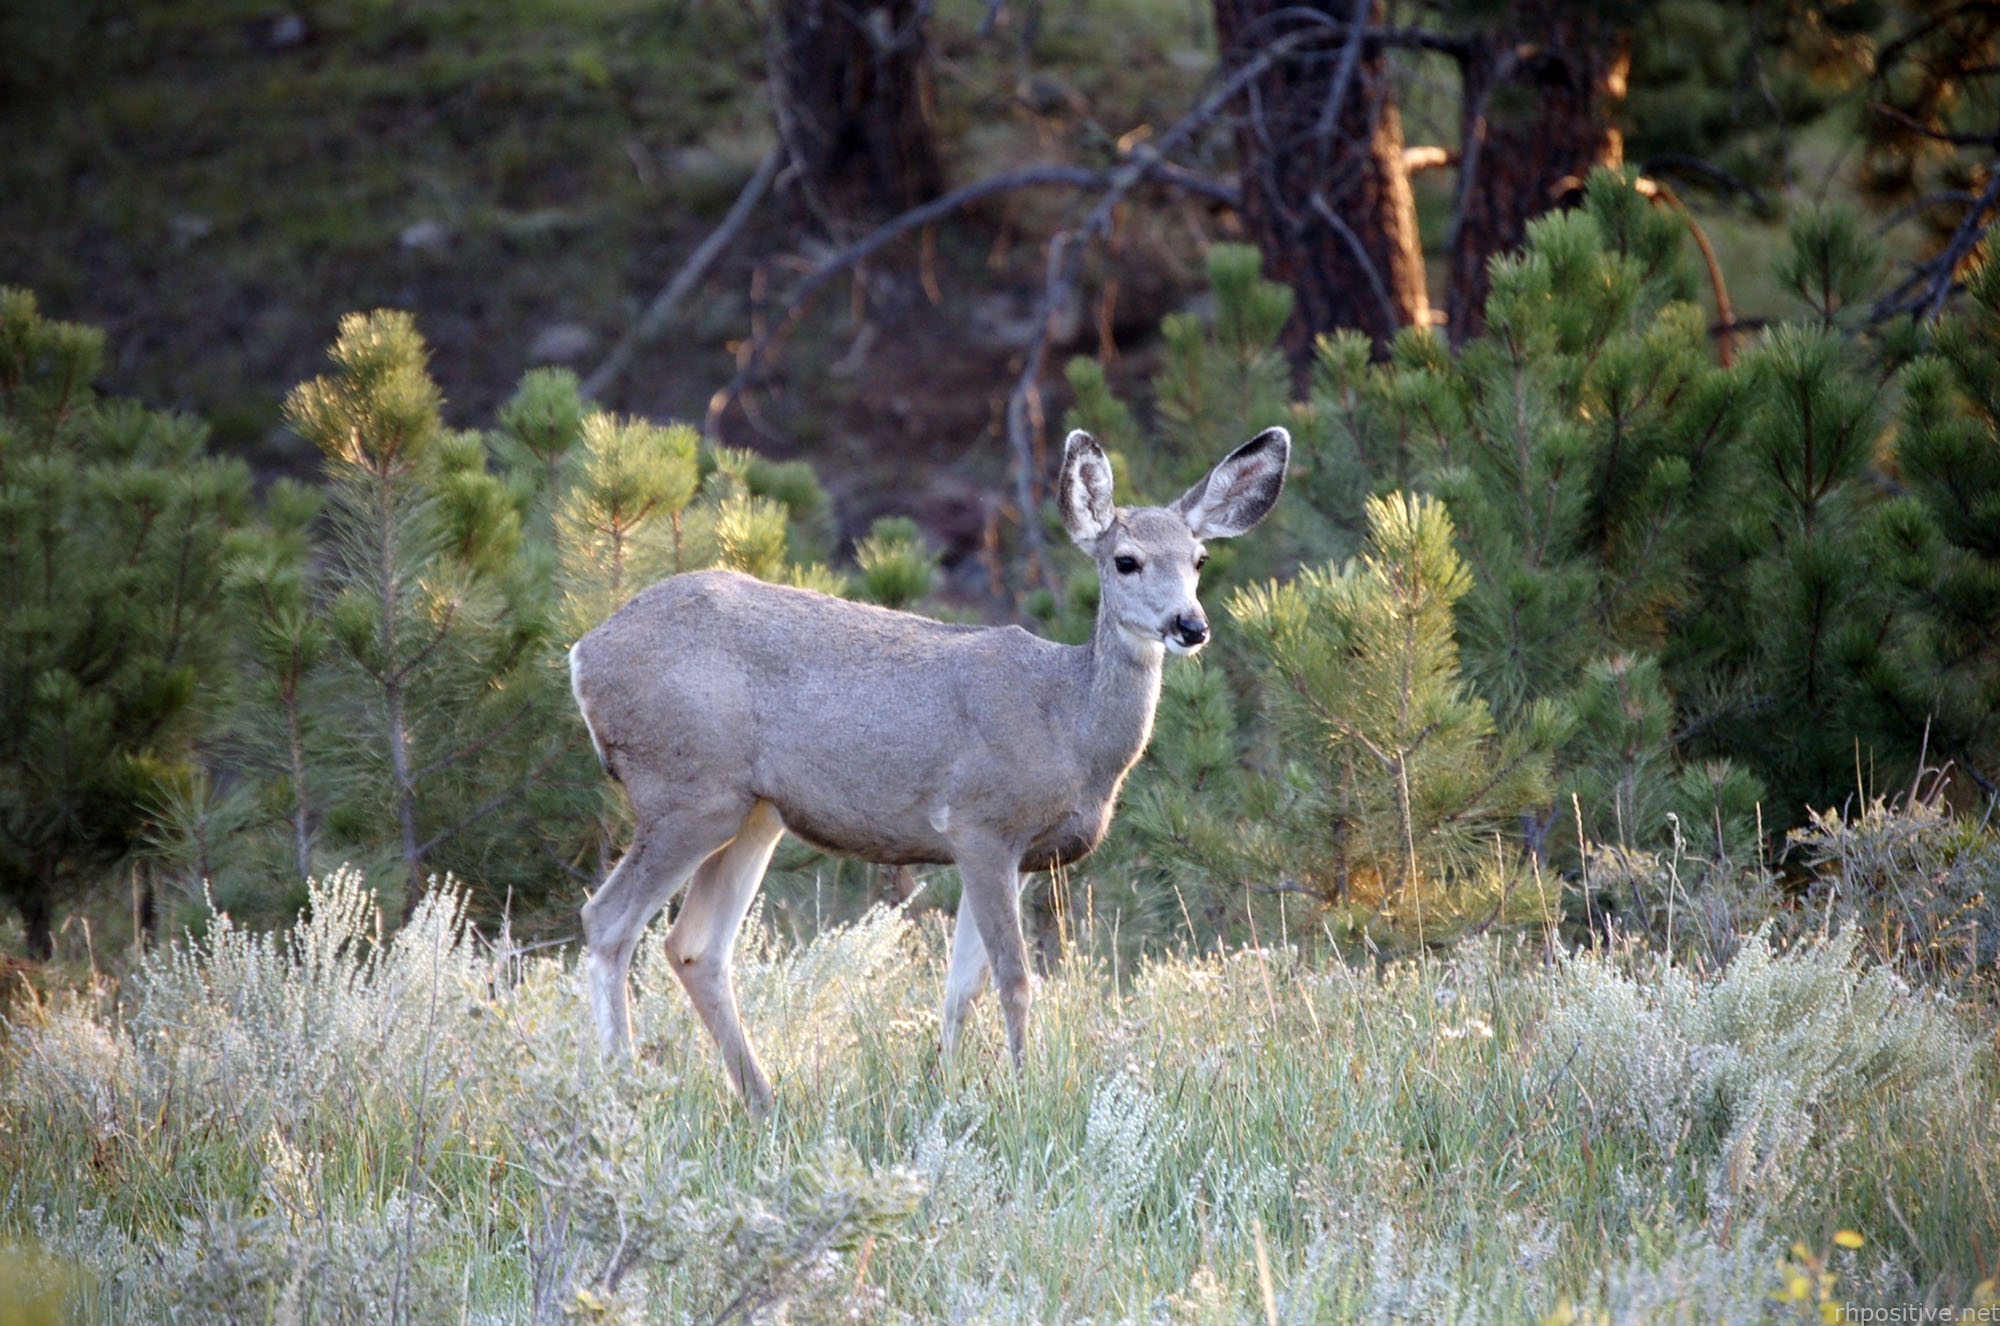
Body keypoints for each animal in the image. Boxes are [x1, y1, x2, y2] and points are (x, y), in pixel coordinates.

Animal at [572, 426, 1288, 1112]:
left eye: (1199, 560)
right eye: (1126, 560)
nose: (1190, 625)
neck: (1067, 723)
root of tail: (584, 652)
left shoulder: (1013, 855)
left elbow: (961, 985)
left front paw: (944, 1088)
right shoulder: (980, 822)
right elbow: (1014, 977)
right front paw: (1028, 1096)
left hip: (754, 813)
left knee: (694, 946)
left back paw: (763, 1102)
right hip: (687, 790)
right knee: (609, 921)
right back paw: (621, 1088)